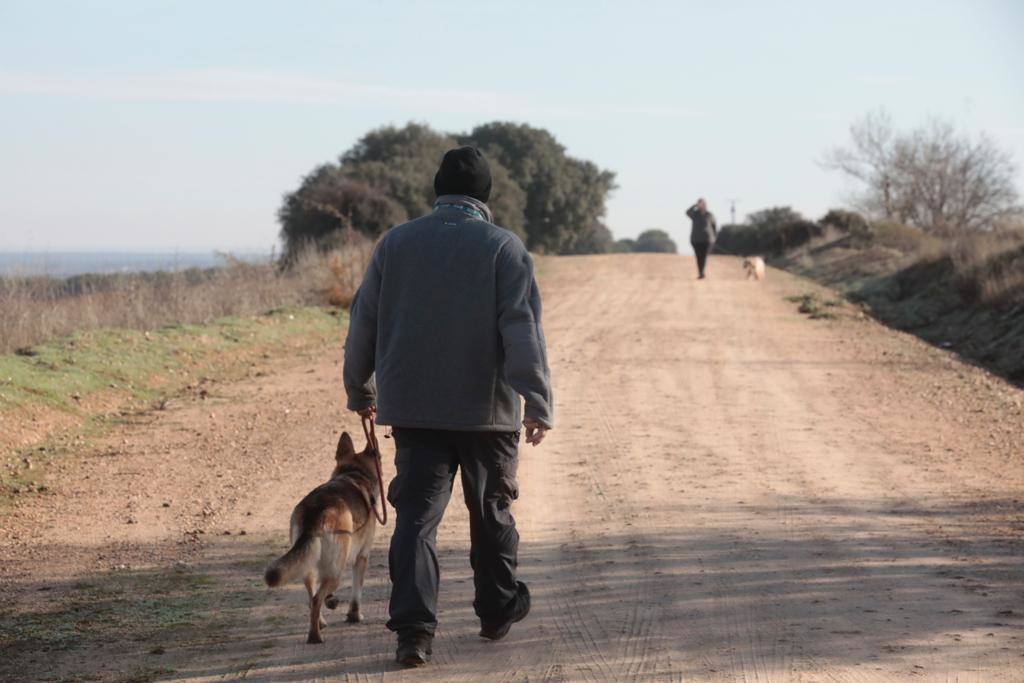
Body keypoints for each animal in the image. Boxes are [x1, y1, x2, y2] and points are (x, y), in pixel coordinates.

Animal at [264, 432, 385, 647]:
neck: (353, 473)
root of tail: (316, 510)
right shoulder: (361, 557)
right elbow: (357, 591)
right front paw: (354, 615)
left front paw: (332, 602)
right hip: (337, 569)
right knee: (316, 598)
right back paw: (315, 636)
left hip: (309, 566)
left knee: (311, 596)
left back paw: (320, 623)